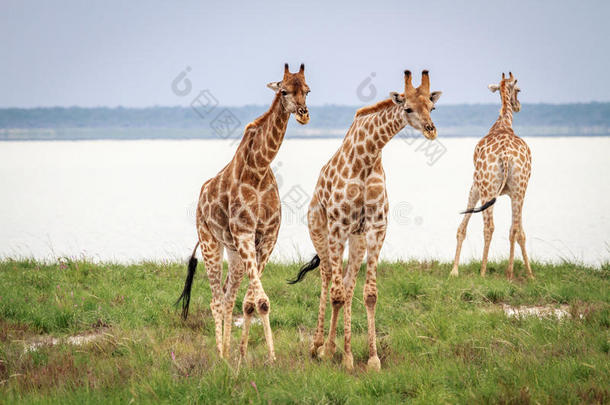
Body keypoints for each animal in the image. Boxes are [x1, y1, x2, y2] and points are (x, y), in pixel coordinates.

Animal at [175, 64, 308, 362]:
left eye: (307, 90)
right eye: (284, 90)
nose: (304, 113)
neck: (258, 168)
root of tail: (201, 198)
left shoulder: (267, 237)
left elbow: (250, 302)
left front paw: (250, 354)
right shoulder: (245, 233)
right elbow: (261, 300)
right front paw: (264, 358)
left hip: (233, 251)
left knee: (227, 296)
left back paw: (227, 352)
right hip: (210, 242)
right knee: (215, 299)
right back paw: (220, 355)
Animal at [288, 70, 440, 370]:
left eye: (432, 106)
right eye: (407, 108)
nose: (431, 130)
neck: (367, 158)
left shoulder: (377, 228)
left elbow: (369, 295)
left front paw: (370, 358)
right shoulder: (338, 226)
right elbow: (335, 293)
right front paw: (333, 354)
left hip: (355, 240)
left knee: (347, 285)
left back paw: (339, 349)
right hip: (320, 233)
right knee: (327, 279)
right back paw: (318, 346)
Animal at [446, 72, 532, 278]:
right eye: (519, 89)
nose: (518, 106)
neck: (503, 123)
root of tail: (506, 155)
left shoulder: (475, 185)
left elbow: (462, 228)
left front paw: (454, 270)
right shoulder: (508, 192)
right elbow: (520, 231)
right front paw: (529, 273)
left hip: (488, 188)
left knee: (490, 227)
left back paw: (484, 271)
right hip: (518, 189)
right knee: (514, 228)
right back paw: (510, 272)